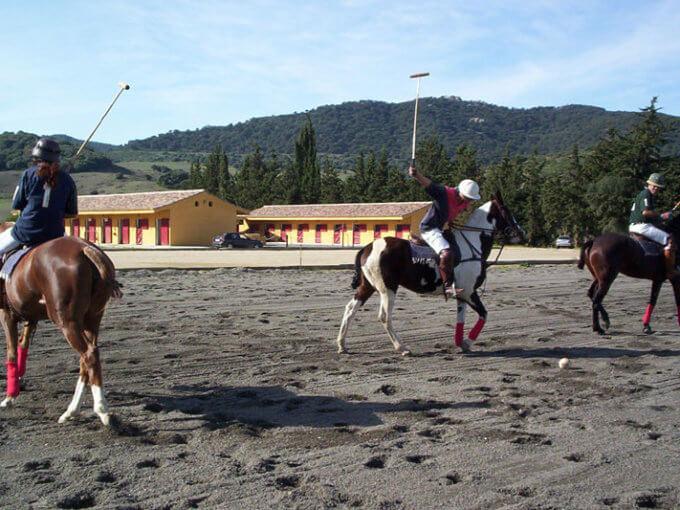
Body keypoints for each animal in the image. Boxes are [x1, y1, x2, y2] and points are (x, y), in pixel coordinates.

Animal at [0, 225, 122, 424]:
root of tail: (85, 249)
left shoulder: (7, 315)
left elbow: (11, 352)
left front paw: (10, 397)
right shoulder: (31, 317)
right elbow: (22, 346)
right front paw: (19, 380)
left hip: (67, 322)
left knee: (89, 355)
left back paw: (102, 410)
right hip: (92, 319)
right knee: (87, 357)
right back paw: (72, 411)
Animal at [338, 191, 524, 354]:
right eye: (507, 211)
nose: (522, 233)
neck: (472, 244)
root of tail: (367, 248)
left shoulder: (462, 294)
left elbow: (461, 319)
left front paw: (460, 343)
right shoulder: (470, 292)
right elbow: (484, 315)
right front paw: (467, 342)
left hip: (367, 286)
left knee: (350, 308)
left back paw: (342, 345)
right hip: (387, 288)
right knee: (384, 316)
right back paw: (402, 348)